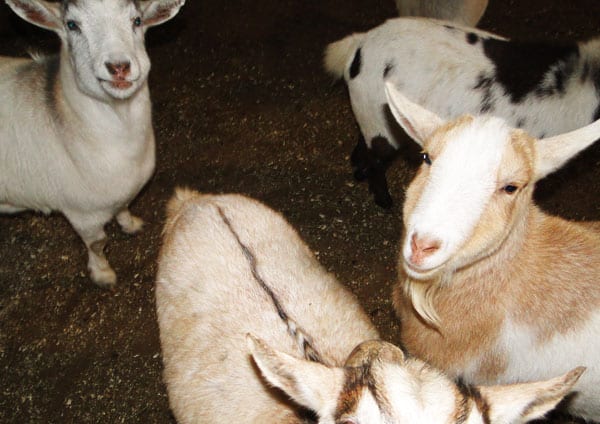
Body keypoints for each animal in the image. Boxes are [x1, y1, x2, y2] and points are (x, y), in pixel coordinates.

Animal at [0, 0, 184, 288]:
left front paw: (130, 224)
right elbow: (98, 243)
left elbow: (124, 206)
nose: (119, 66)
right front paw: (103, 274)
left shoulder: (120, 190)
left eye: (137, 21)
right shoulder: (83, 213)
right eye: (72, 25)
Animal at [326, 17, 600, 209]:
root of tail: (359, 45)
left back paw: (359, 172)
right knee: (377, 157)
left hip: (373, 114)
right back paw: (384, 201)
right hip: (380, 122)